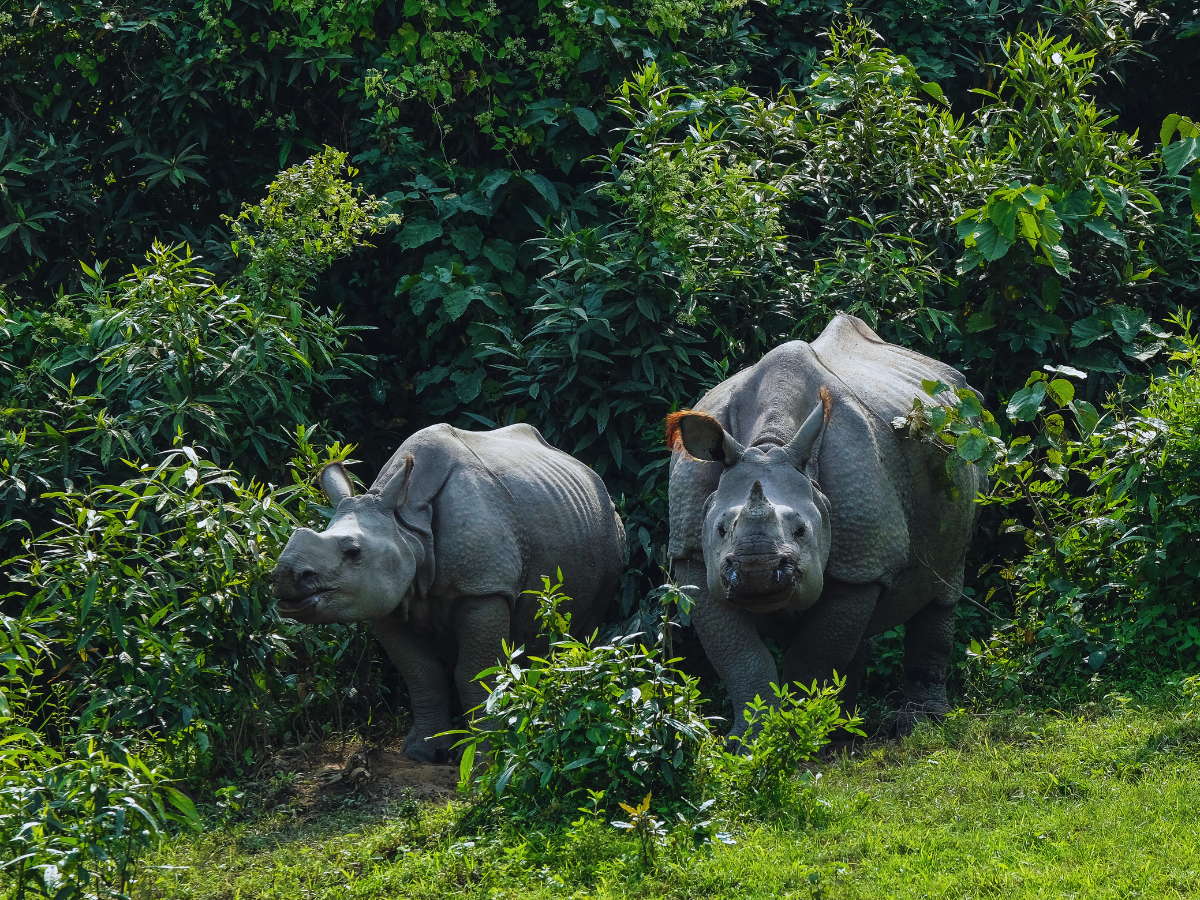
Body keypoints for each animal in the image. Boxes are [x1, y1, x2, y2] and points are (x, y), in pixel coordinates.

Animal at [273, 422, 628, 763]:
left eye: (353, 551)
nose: (284, 577)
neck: (408, 526)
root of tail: (590, 474)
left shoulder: (484, 587)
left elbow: (474, 674)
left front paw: (485, 757)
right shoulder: (384, 599)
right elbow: (421, 673)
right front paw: (422, 753)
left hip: (611, 527)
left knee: (585, 625)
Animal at [667, 314, 984, 734]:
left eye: (801, 531)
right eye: (721, 529)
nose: (756, 571)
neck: (768, 444)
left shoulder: (861, 562)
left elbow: (815, 654)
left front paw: (801, 731)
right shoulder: (690, 551)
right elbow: (739, 656)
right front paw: (752, 738)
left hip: (965, 444)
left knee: (943, 586)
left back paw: (918, 724)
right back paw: (845, 727)